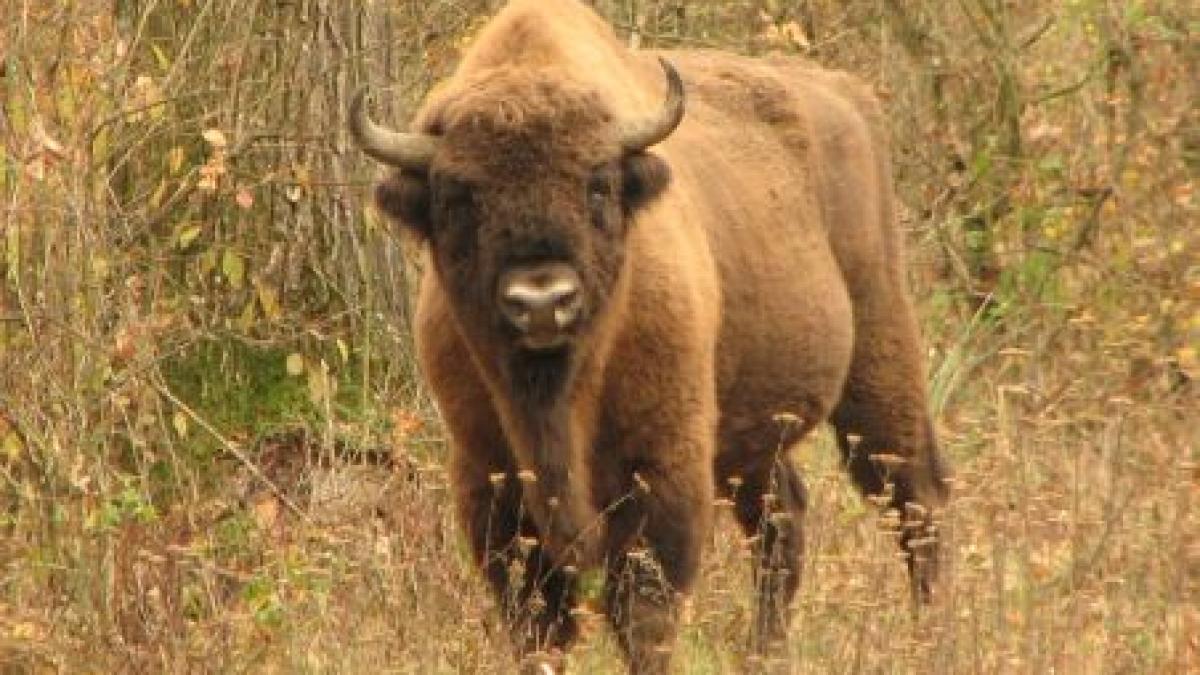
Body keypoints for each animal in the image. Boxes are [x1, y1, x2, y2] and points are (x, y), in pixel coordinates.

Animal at [348, 0, 945, 667]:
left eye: (598, 183)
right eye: (458, 195)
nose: (542, 302)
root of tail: (845, 93)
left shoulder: (662, 466)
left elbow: (644, 609)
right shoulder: (490, 477)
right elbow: (535, 618)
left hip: (880, 354)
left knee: (916, 498)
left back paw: (931, 637)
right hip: (755, 432)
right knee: (782, 520)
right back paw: (764, 652)